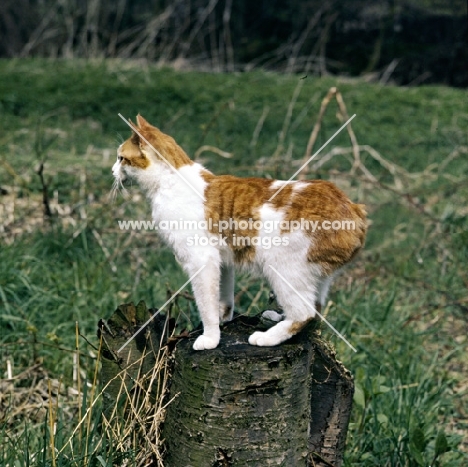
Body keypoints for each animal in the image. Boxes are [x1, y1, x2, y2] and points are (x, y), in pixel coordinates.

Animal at [112, 115, 366, 352]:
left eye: (121, 157)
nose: (113, 170)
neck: (172, 181)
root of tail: (354, 208)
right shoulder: (223, 260)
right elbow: (222, 298)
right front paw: (223, 320)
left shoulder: (202, 260)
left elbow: (205, 304)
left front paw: (210, 338)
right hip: (316, 276)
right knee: (316, 311)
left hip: (282, 266)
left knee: (304, 312)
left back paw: (267, 337)